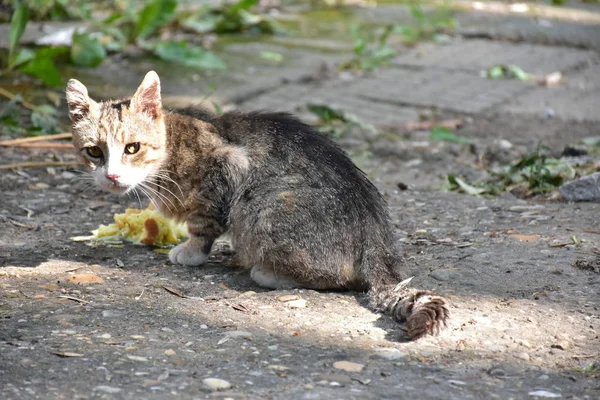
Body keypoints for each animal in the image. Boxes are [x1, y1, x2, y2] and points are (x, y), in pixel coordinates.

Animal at [68, 71, 448, 338]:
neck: (171, 148)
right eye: (94, 152)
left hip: (265, 209)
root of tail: (375, 229)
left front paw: (191, 251)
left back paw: (267, 272)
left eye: (132, 148)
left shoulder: (226, 168)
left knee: (336, 276)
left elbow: (203, 224)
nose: (112, 176)